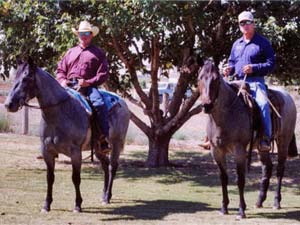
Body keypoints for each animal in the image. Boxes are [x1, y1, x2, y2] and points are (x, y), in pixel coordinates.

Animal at [4, 58, 130, 213]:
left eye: (26, 78)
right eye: (15, 78)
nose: (9, 104)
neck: (59, 113)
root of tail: (122, 102)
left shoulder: (75, 153)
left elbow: (75, 178)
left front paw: (77, 205)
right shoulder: (47, 152)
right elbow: (50, 177)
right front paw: (46, 205)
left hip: (117, 143)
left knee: (113, 167)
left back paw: (107, 197)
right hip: (98, 148)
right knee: (105, 165)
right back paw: (104, 195)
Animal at [197, 59, 298, 220]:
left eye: (216, 79)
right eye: (199, 78)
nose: (207, 105)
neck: (226, 115)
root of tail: (287, 96)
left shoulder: (239, 150)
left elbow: (240, 179)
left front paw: (241, 210)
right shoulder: (216, 151)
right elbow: (223, 178)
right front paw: (224, 208)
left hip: (283, 142)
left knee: (279, 170)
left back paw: (276, 202)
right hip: (262, 148)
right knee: (267, 167)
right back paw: (259, 201)